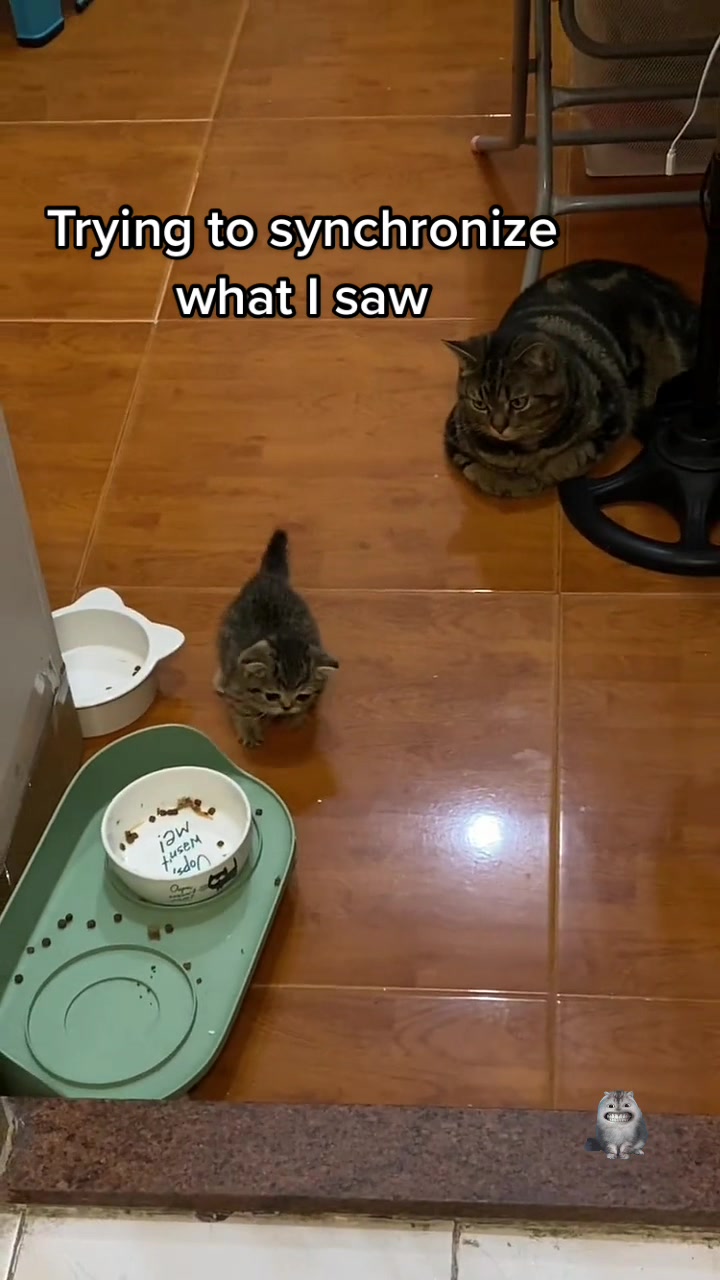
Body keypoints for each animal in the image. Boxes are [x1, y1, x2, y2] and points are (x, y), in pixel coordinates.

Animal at [214, 529, 339, 748]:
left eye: (302, 696)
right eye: (272, 695)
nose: (287, 707)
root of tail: (269, 577)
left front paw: (296, 717)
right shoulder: (237, 687)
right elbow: (242, 709)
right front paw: (249, 730)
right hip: (226, 631)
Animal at [444, 259, 699, 498]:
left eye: (519, 402)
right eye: (479, 404)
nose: (498, 427)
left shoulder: (615, 416)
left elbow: (573, 457)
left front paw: (542, 473)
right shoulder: (454, 436)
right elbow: (478, 471)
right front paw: (509, 481)